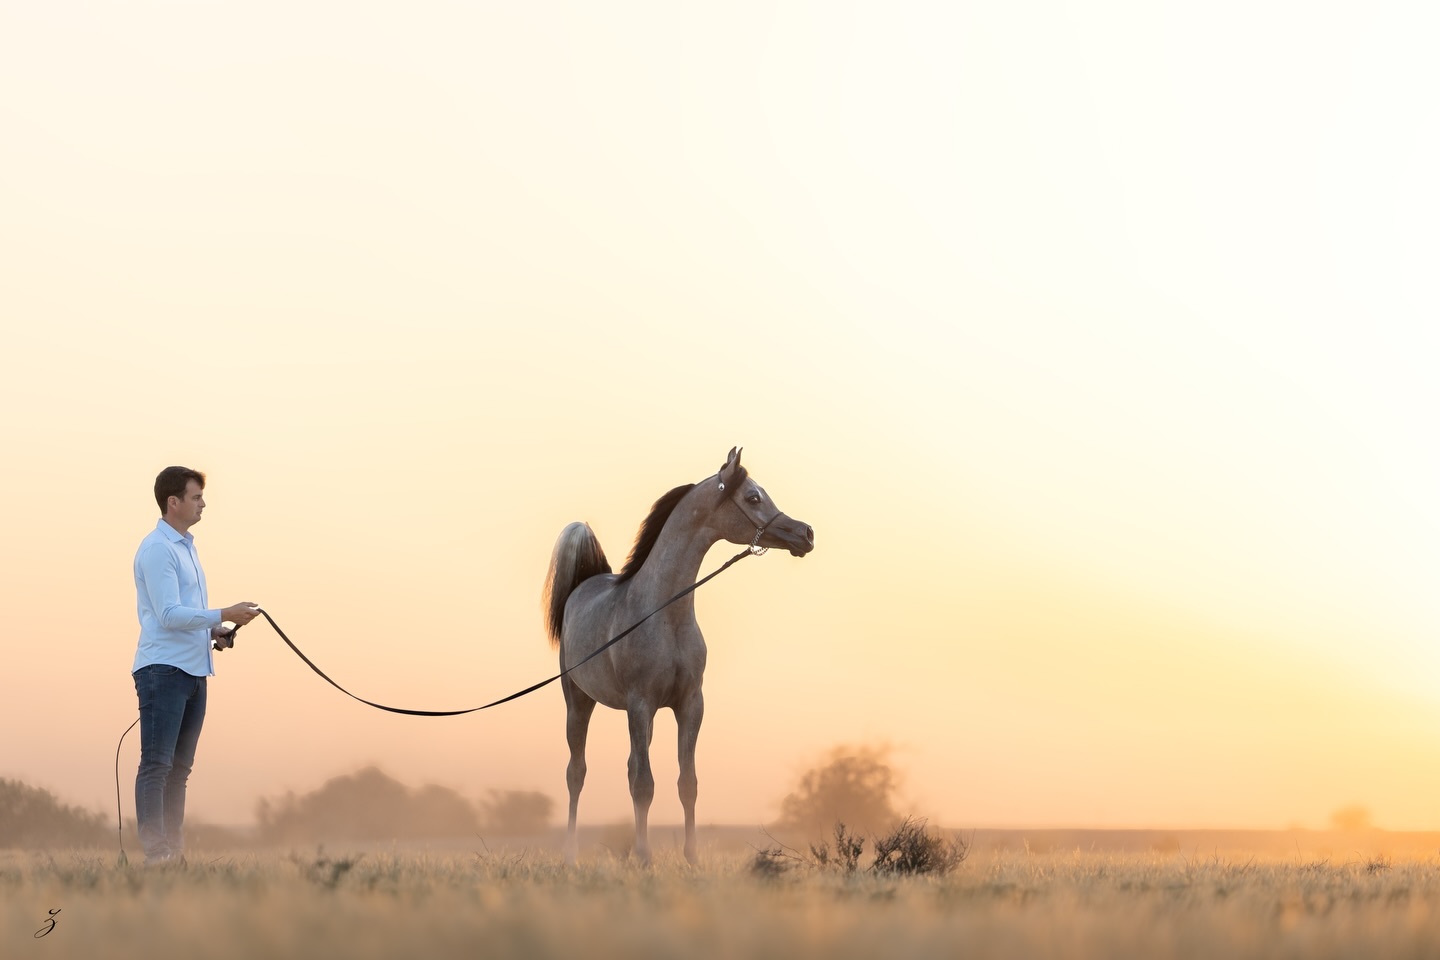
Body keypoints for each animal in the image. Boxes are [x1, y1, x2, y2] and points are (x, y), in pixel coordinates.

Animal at [543, 447, 814, 865]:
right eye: (753, 497)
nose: (806, 533)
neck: (663, 613)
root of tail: (582, 585)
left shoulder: (689, 704)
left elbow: (687, 783)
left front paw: (691, 858)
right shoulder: (640, 703)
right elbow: (644, 784)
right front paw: (644, 858)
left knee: (627, 766)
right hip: (578, 702)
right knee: (577, 773)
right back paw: (571, 855)